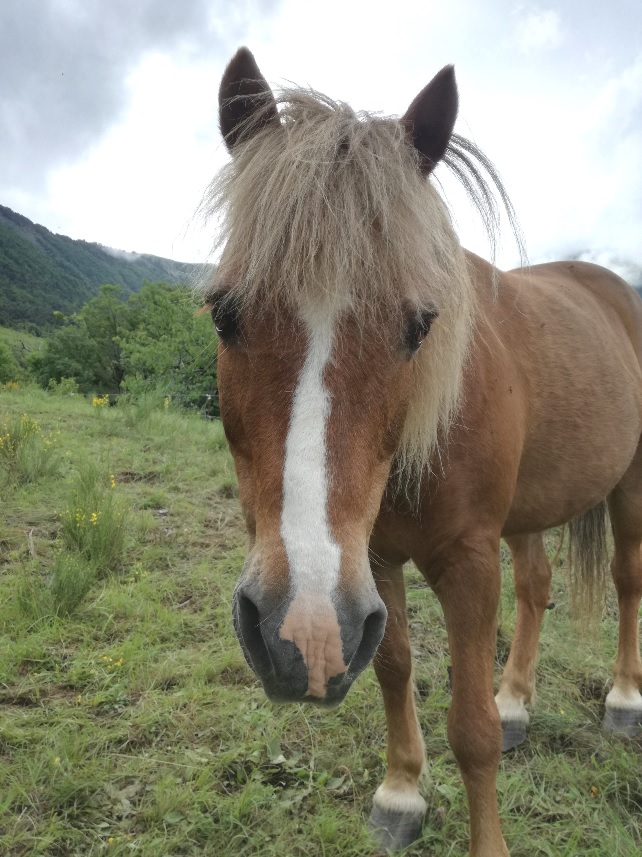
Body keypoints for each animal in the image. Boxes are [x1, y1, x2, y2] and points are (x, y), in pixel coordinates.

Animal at [204, 48, 640, 856]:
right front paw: (402, 791)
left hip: (629, 484)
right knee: (536, 582)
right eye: (225, 313)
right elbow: (394, 667)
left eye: (418, 326)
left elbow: (471, 730)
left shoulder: (466, 559)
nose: (298, 632)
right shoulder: (371, 561)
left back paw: (623, 698)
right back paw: (518, 700)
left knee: (627, 580)